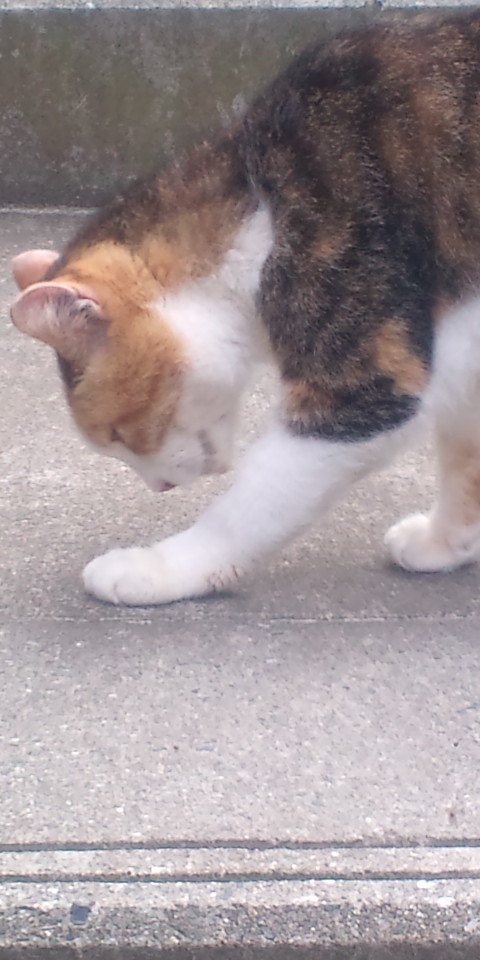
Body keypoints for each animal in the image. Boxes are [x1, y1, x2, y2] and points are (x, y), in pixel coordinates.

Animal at [10, 9, 480, 606]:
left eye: (115, 434)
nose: (159, 487)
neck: (260, 203)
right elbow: (466, 456)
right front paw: (446, 542)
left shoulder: (366, 382)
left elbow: (248, 509)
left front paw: (159, 568)